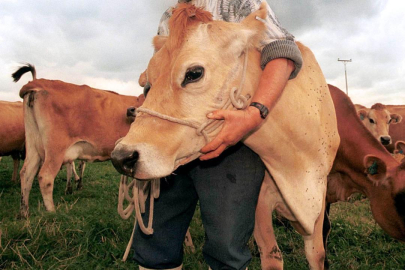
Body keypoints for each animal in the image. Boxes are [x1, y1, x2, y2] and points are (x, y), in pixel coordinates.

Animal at [12, 64, 144, 218]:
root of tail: (38, 83)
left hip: (33, 144)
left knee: (26, 173)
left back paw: (24, 212)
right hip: (55, 149)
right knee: (45, 177)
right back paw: (52, 212)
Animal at [109, 3, 338, 268]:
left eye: (194, 73)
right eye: (148, 84)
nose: (122, 157)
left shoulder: (320, 196)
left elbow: (316, 254)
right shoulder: (260, 204)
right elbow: (272, 255)